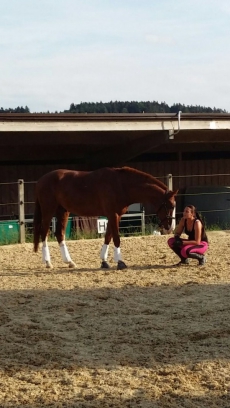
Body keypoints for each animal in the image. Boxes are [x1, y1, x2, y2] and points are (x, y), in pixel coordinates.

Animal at [32, 166, 178, 268]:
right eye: (171, 206)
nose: (170, 227)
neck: (121, 185)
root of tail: (40, 181)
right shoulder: (113, 214)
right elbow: (117, 238)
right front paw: (120, 262)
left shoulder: (115, 215)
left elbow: (108, 236)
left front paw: (104, 261)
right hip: (48, 210)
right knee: (44, 233)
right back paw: (47, 262)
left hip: (63, 211)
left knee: (59, 234)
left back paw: (69, 262)